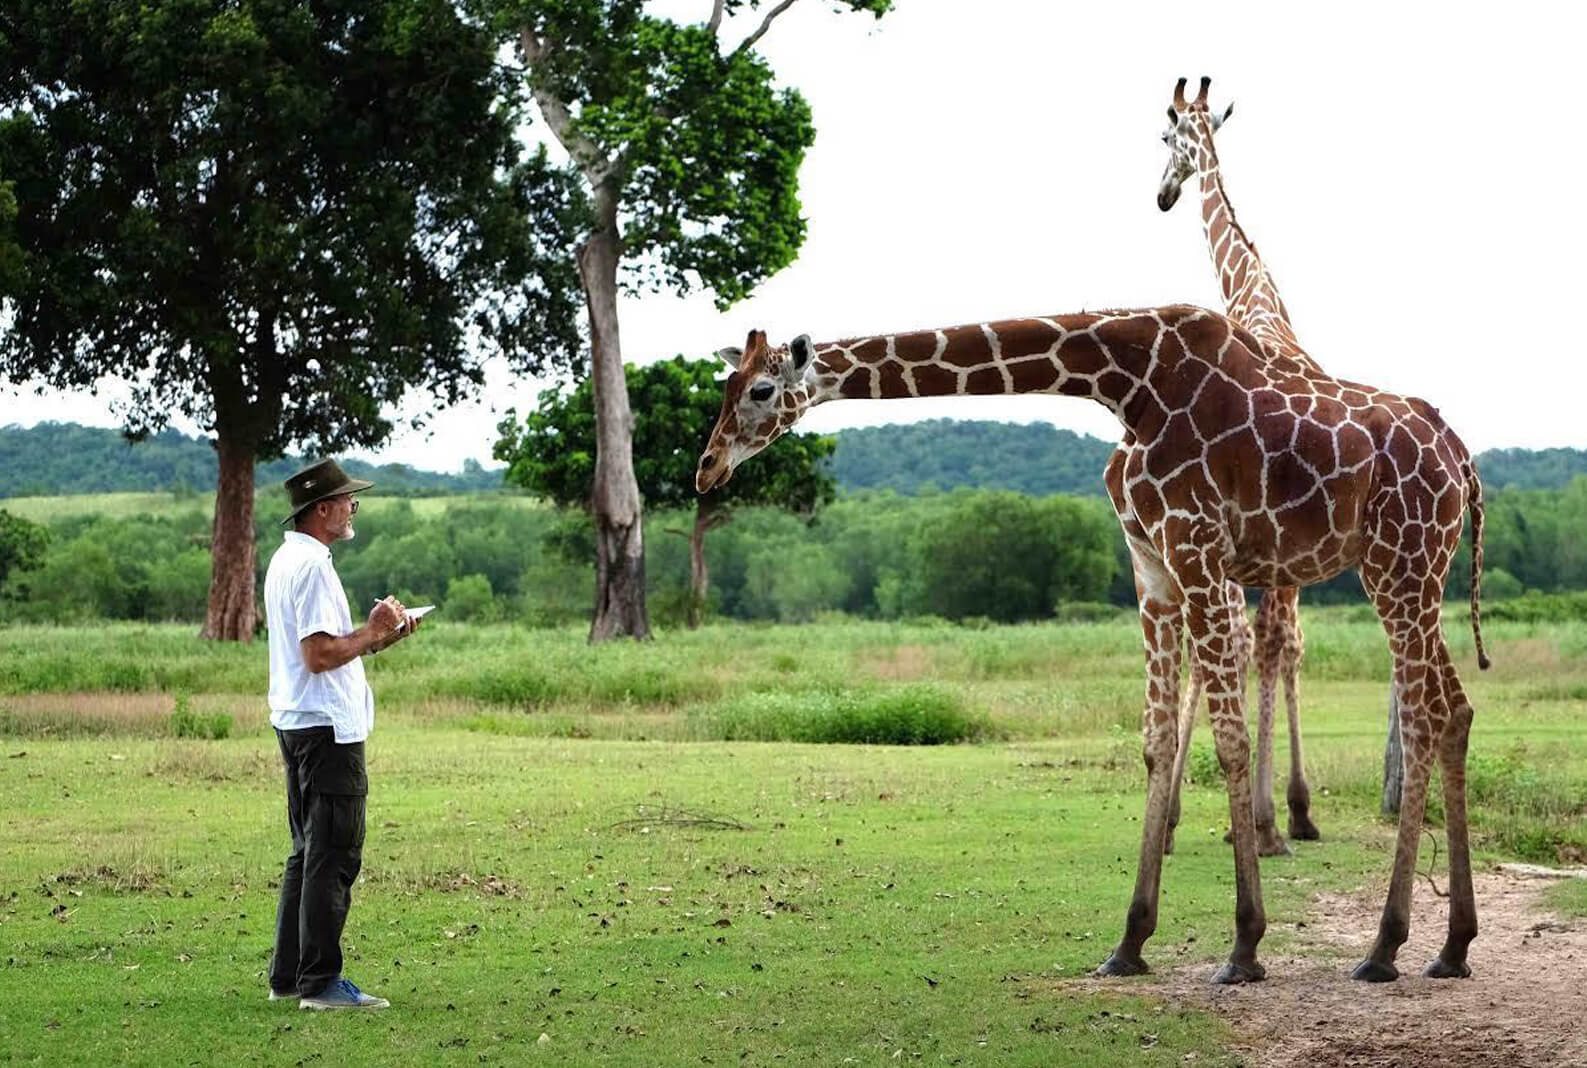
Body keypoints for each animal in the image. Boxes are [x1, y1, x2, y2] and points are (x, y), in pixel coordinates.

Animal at [696, 308, 1490, 984]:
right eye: (725, 387)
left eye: (760, 389)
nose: (706, 468)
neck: (1123, 384)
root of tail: (1465, 466)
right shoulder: (1153, 567)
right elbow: (1157, 740)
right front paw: (1130, 941)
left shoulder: (1197, 549)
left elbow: (1228, 740)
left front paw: (1243, 946)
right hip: (1416, 572)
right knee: (1454, 708)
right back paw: (1449, 947)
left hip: (1398, 563)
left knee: (1421, 714)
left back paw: (1384, 947)